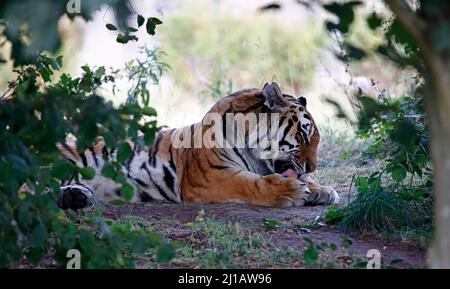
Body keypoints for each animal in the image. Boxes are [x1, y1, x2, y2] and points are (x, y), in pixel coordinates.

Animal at [56, 81, 338, 209]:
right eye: (303, 135)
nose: (312, 167)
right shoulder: (212, 176)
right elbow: (251, 184)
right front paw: (291, 191)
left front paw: (321, 189)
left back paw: (76, 196)